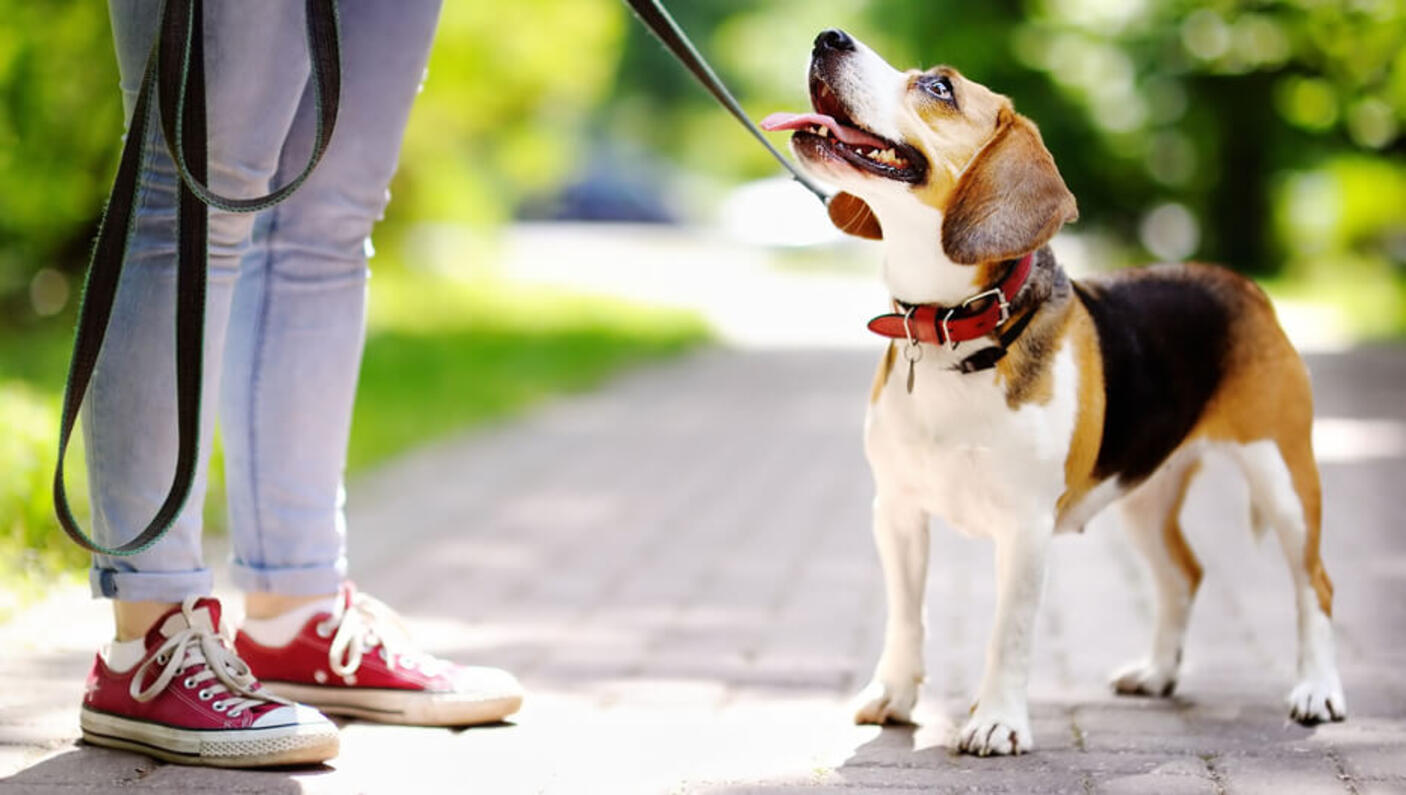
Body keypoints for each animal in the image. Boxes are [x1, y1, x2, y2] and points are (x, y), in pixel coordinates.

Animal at [764, 29, 1344, 748]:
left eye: (938, 87)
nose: (828, 37)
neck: (955, 330)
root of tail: (1241, 283)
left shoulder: (1025, 524)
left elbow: (1007, 632)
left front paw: (996, 721)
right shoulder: (896, 510)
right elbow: (906, 616)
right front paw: (893, 694)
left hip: (1283, 477)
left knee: (1315, 584)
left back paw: (1318, 690)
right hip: (1143, 493)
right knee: (1184, 575)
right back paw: (1157, 672)